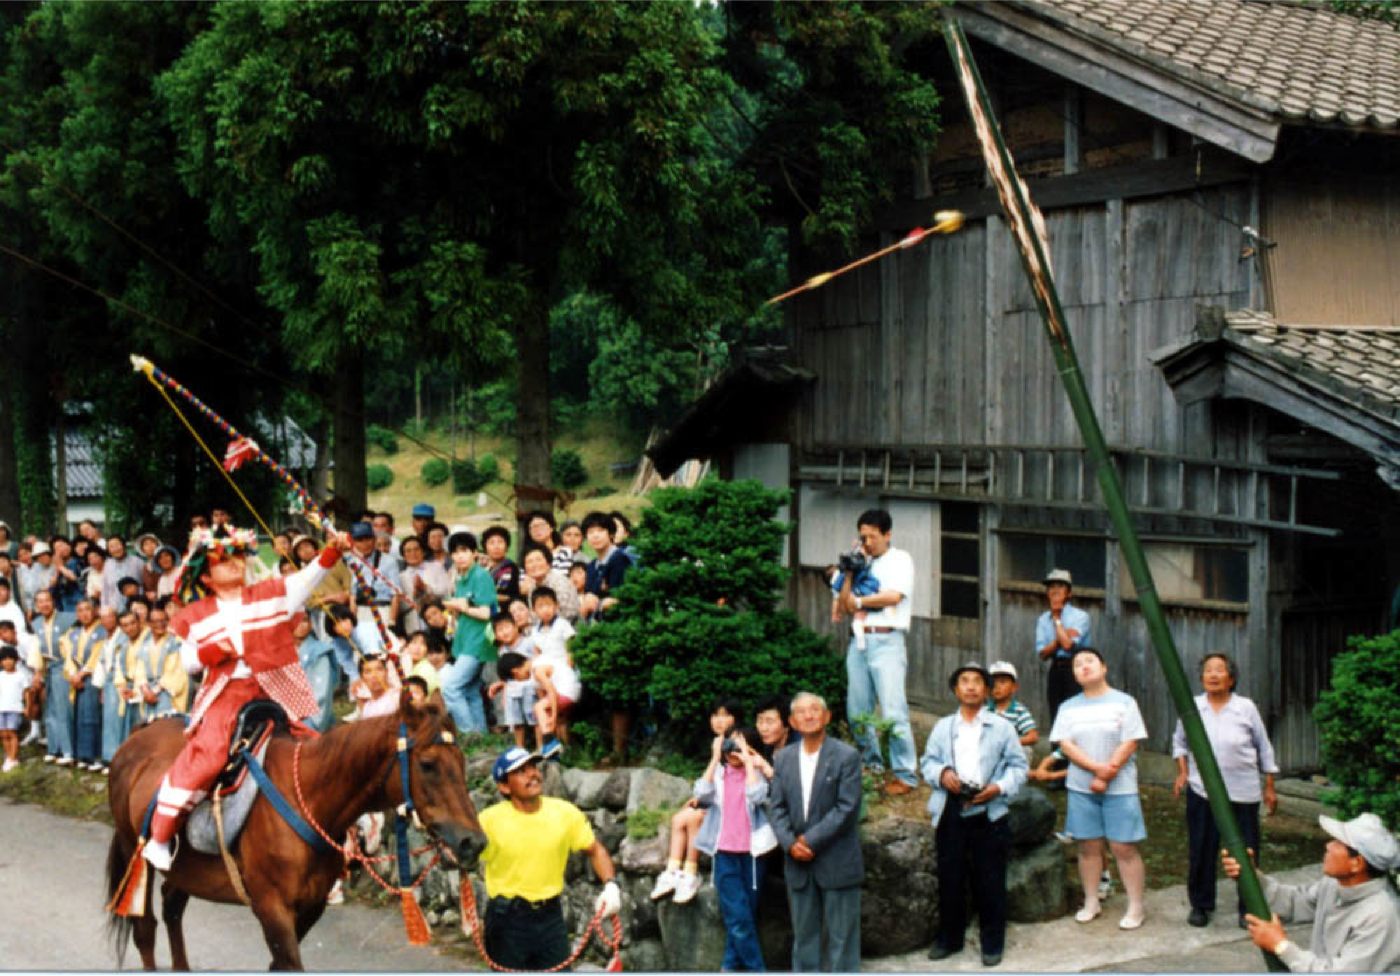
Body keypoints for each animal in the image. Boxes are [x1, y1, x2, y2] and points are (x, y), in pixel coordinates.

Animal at [103, 691, 487, 968]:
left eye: (461, 762)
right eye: (428, 764)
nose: (473, 841)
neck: (312, 800)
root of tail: (136, 736)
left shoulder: (312, 906)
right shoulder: (272, 909)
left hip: (186, 870)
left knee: (172, 907)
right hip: (135, 854)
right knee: (145, 929)